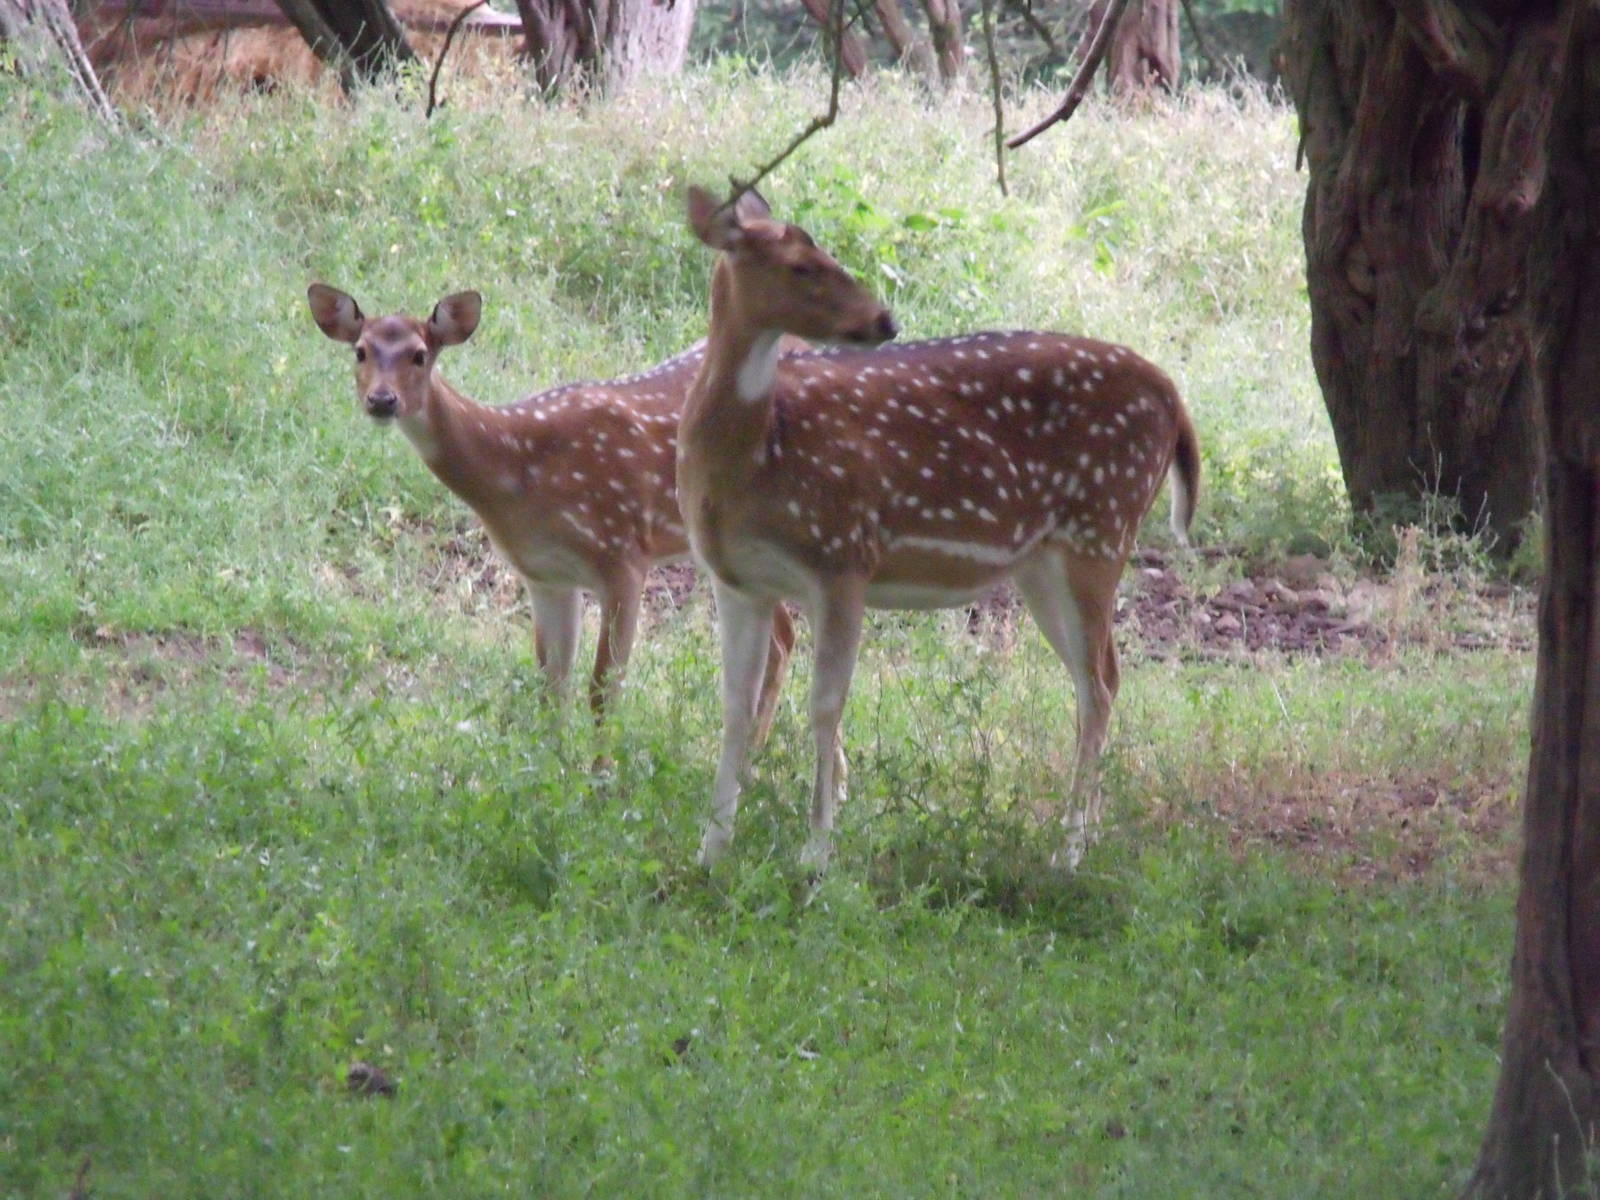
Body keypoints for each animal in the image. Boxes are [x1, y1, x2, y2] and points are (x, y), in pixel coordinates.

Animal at [306, 283, 796, 736]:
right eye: (360, 351)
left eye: (419, 354)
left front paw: (598, 773)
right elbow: (552, 685)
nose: (382, 400)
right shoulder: (544, 574)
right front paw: (552, 763)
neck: (521, 470)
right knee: (783, 634)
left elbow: (603, 690)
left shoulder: (624, 553)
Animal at [677, 187, 1200, 872]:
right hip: (1044, 562)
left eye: (827, 252)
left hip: (1103, 524)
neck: (756, 459)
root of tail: (1175, 398)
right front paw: (711, 850)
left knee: (1099, 685)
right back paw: (1078, 840)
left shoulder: (844, 555)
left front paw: (815, 855)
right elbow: (735, 707)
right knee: (1102, 676)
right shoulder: (737, 579)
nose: (885, 321)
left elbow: (825, 706)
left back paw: (1067, 852)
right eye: (802, 266)